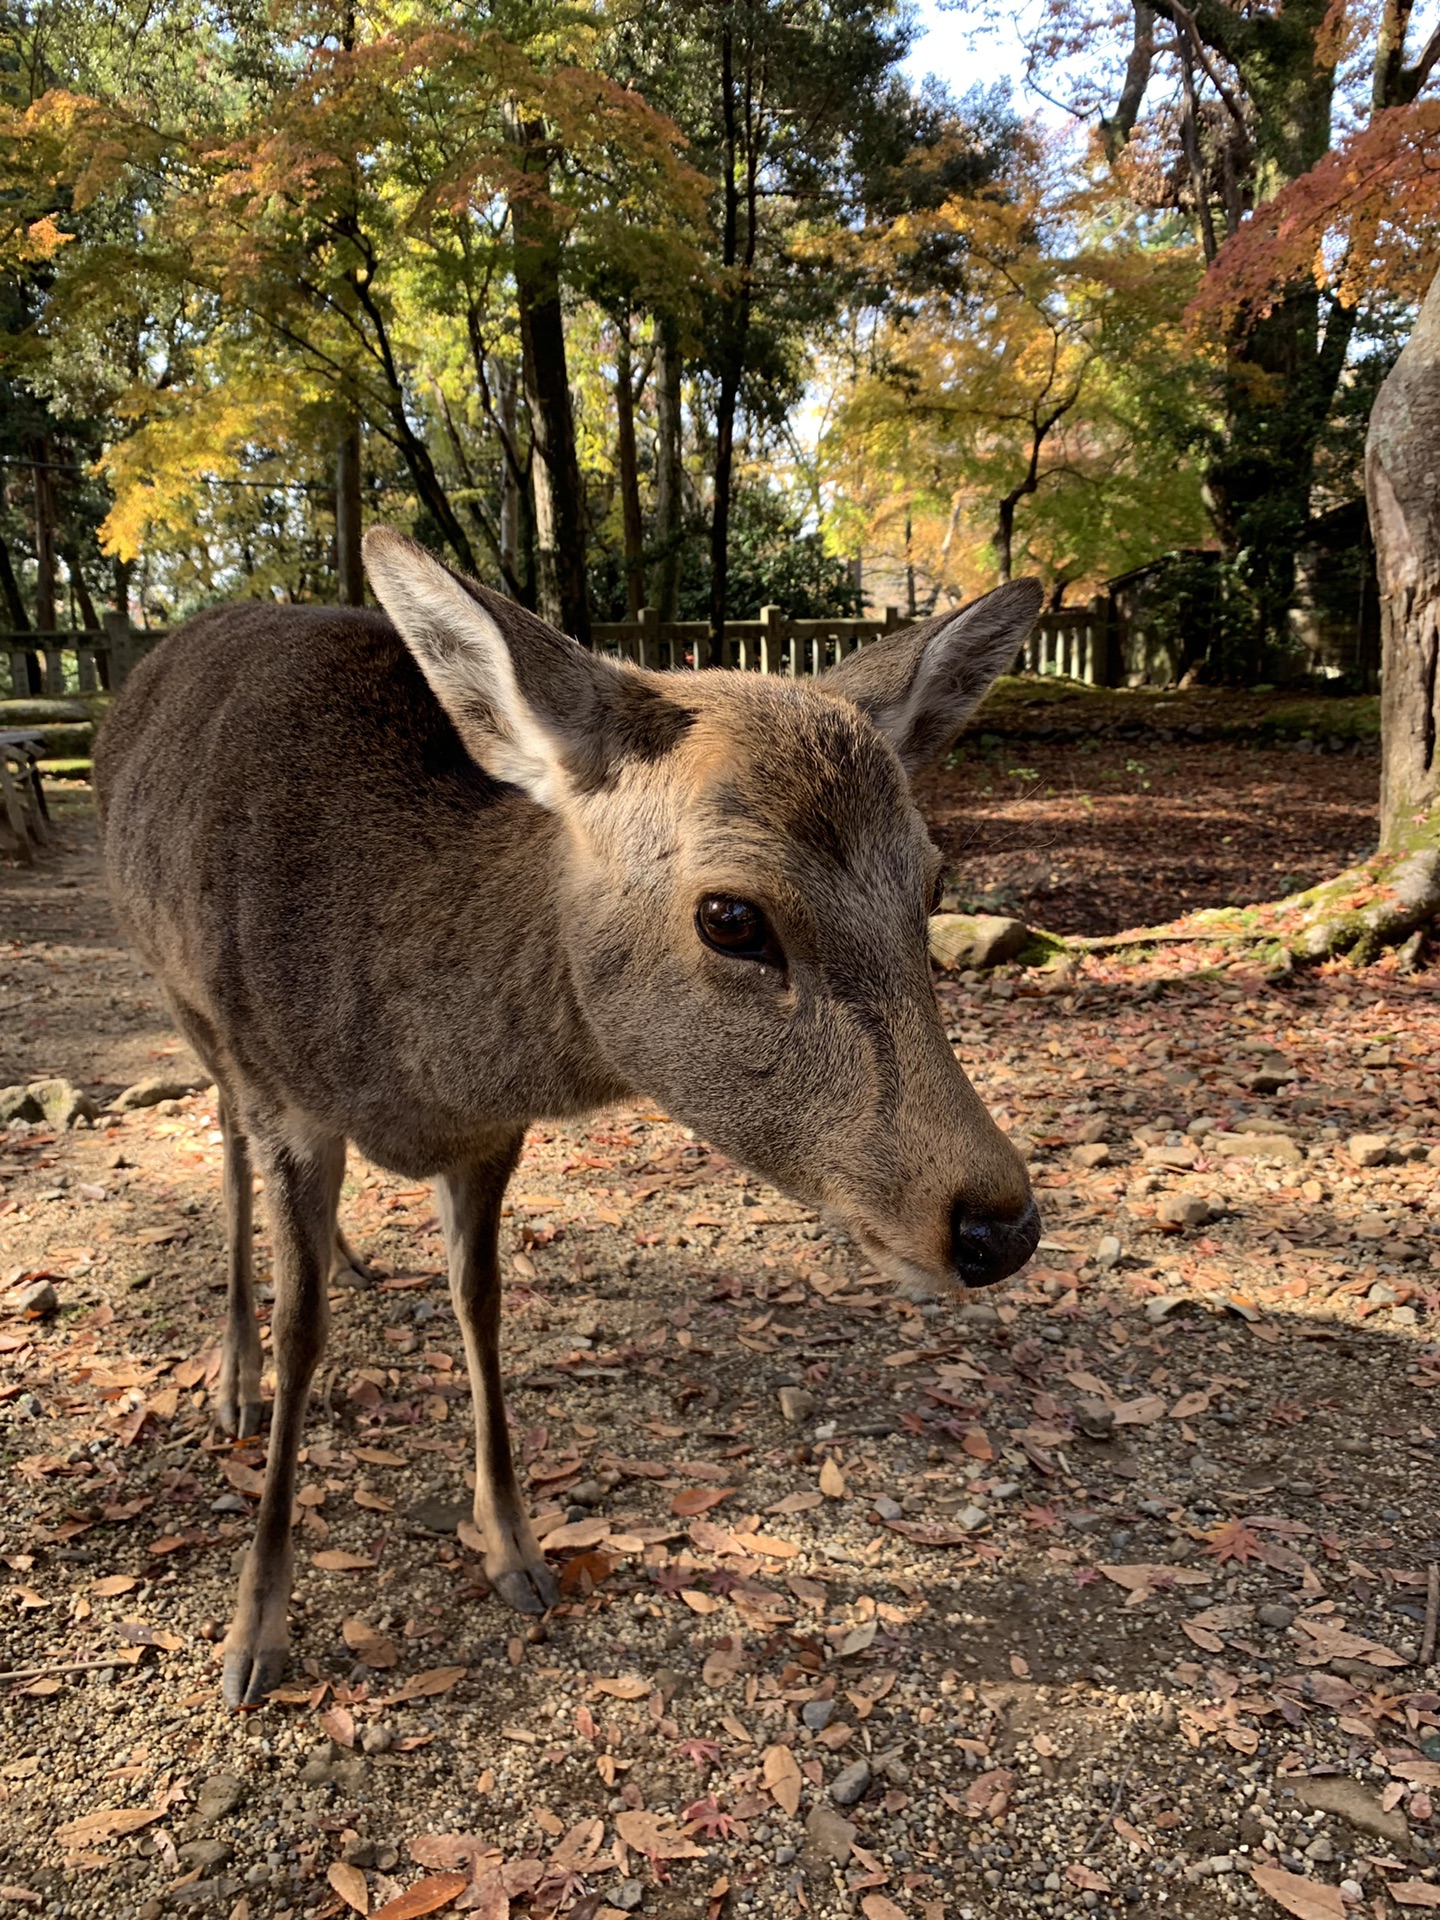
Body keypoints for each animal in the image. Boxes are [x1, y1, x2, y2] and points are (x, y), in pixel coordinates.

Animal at [96, 529, 1052, 1712]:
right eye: (731, 916)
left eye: (933, 885)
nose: (998, 1224)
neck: (410, 1065)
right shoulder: (286, 1098)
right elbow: (304, 1332)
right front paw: (251, 1636)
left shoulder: (490, 1136)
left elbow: (482, 1305)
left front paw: (515, 1549)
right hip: (182, 1002)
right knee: (223, 1144)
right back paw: (232, 1379)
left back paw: (353, 1256)